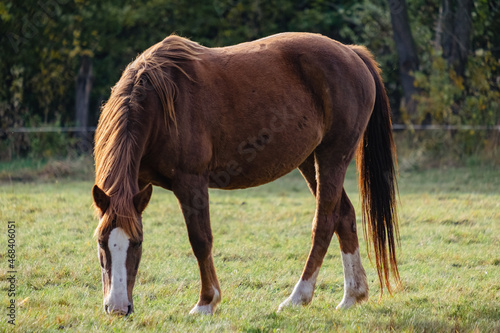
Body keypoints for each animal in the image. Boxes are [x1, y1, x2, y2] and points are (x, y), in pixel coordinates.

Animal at [92, 32, 400, 316]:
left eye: (137, 243)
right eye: (101, 242)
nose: (117, 308)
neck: (161, 102)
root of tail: (352, 52)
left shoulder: (190, 182)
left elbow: (200, 239)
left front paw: (206, 302)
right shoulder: (139, 182)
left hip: (332, 158)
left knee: (324, 221)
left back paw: (298, 297)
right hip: (310, 161)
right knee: (344, 216)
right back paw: (352, 296)